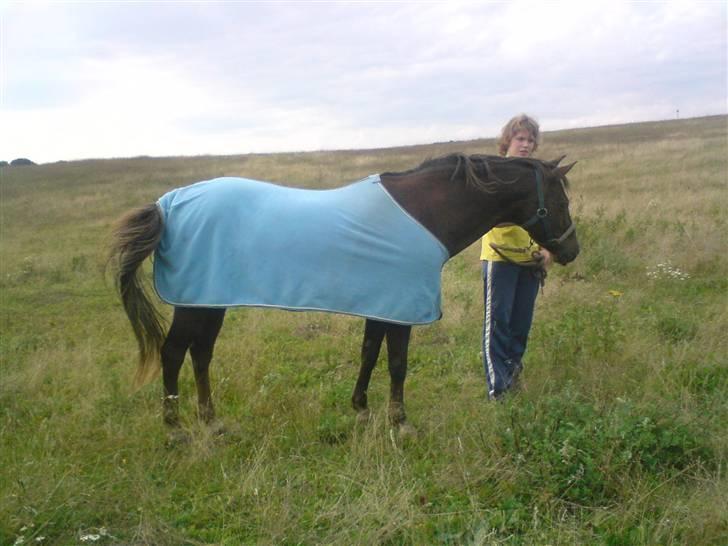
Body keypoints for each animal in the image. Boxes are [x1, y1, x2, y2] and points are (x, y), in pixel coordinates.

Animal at [106, 154, 580, 434]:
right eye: (560, 202)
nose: (571, 251)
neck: (423, 214)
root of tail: (166, 204)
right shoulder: (401, 307)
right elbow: (397, 363)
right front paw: (399, 421)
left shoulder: (384, 304)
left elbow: (370, 353)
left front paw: (362, 408)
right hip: (193, 304)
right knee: (173, 353)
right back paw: (175, 429)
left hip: (209, 300)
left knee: (200, 353)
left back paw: (211, 422)